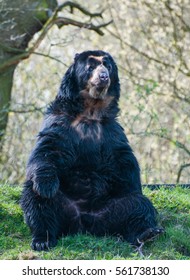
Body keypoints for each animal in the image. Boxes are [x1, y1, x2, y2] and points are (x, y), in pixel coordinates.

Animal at [20, 50, 163, 252]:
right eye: (91, 66)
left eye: (107, 65)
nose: (103, 76)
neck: (91, 110)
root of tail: (85, 224)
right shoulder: (61, 123)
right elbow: (48, 150)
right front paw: (46, 185)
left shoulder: (111, 131)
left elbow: (124, 160)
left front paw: (133, 184)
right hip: (63, 207)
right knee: (36, 202)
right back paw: (43, 239)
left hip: (113, 209)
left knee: (138, 205)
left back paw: (147, 232)